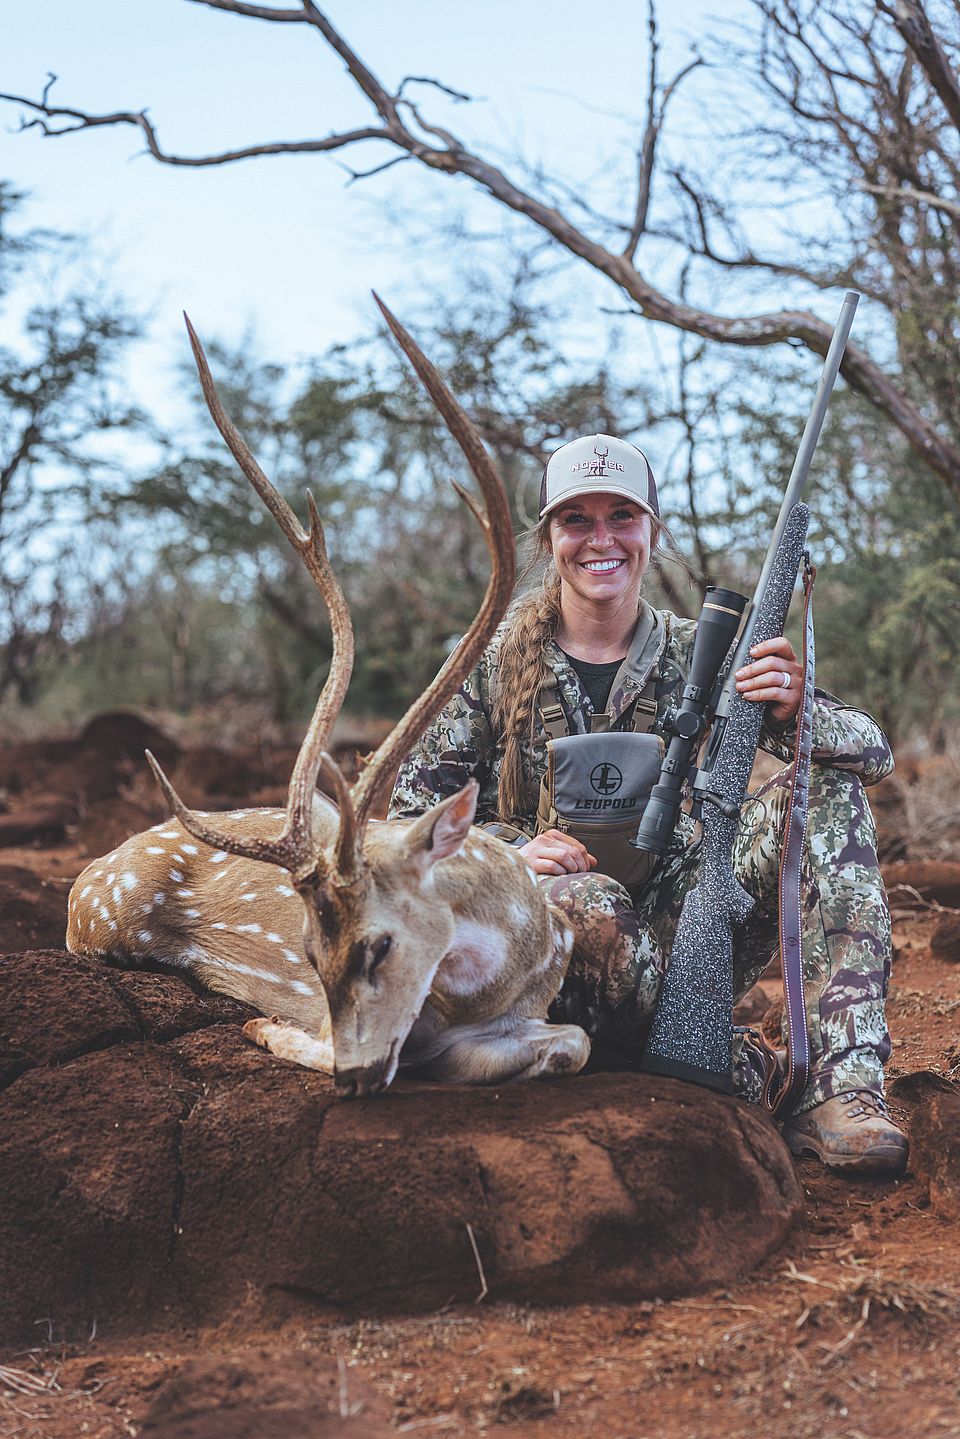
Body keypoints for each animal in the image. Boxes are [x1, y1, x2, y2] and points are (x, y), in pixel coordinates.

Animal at [66, 300, 590, 1098]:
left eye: (380, 944)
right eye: (308, 952)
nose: (354, 1075)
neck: (513, 962)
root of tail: (87, 873)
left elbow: (574, 1042)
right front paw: (264, 1026)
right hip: (99, 922)